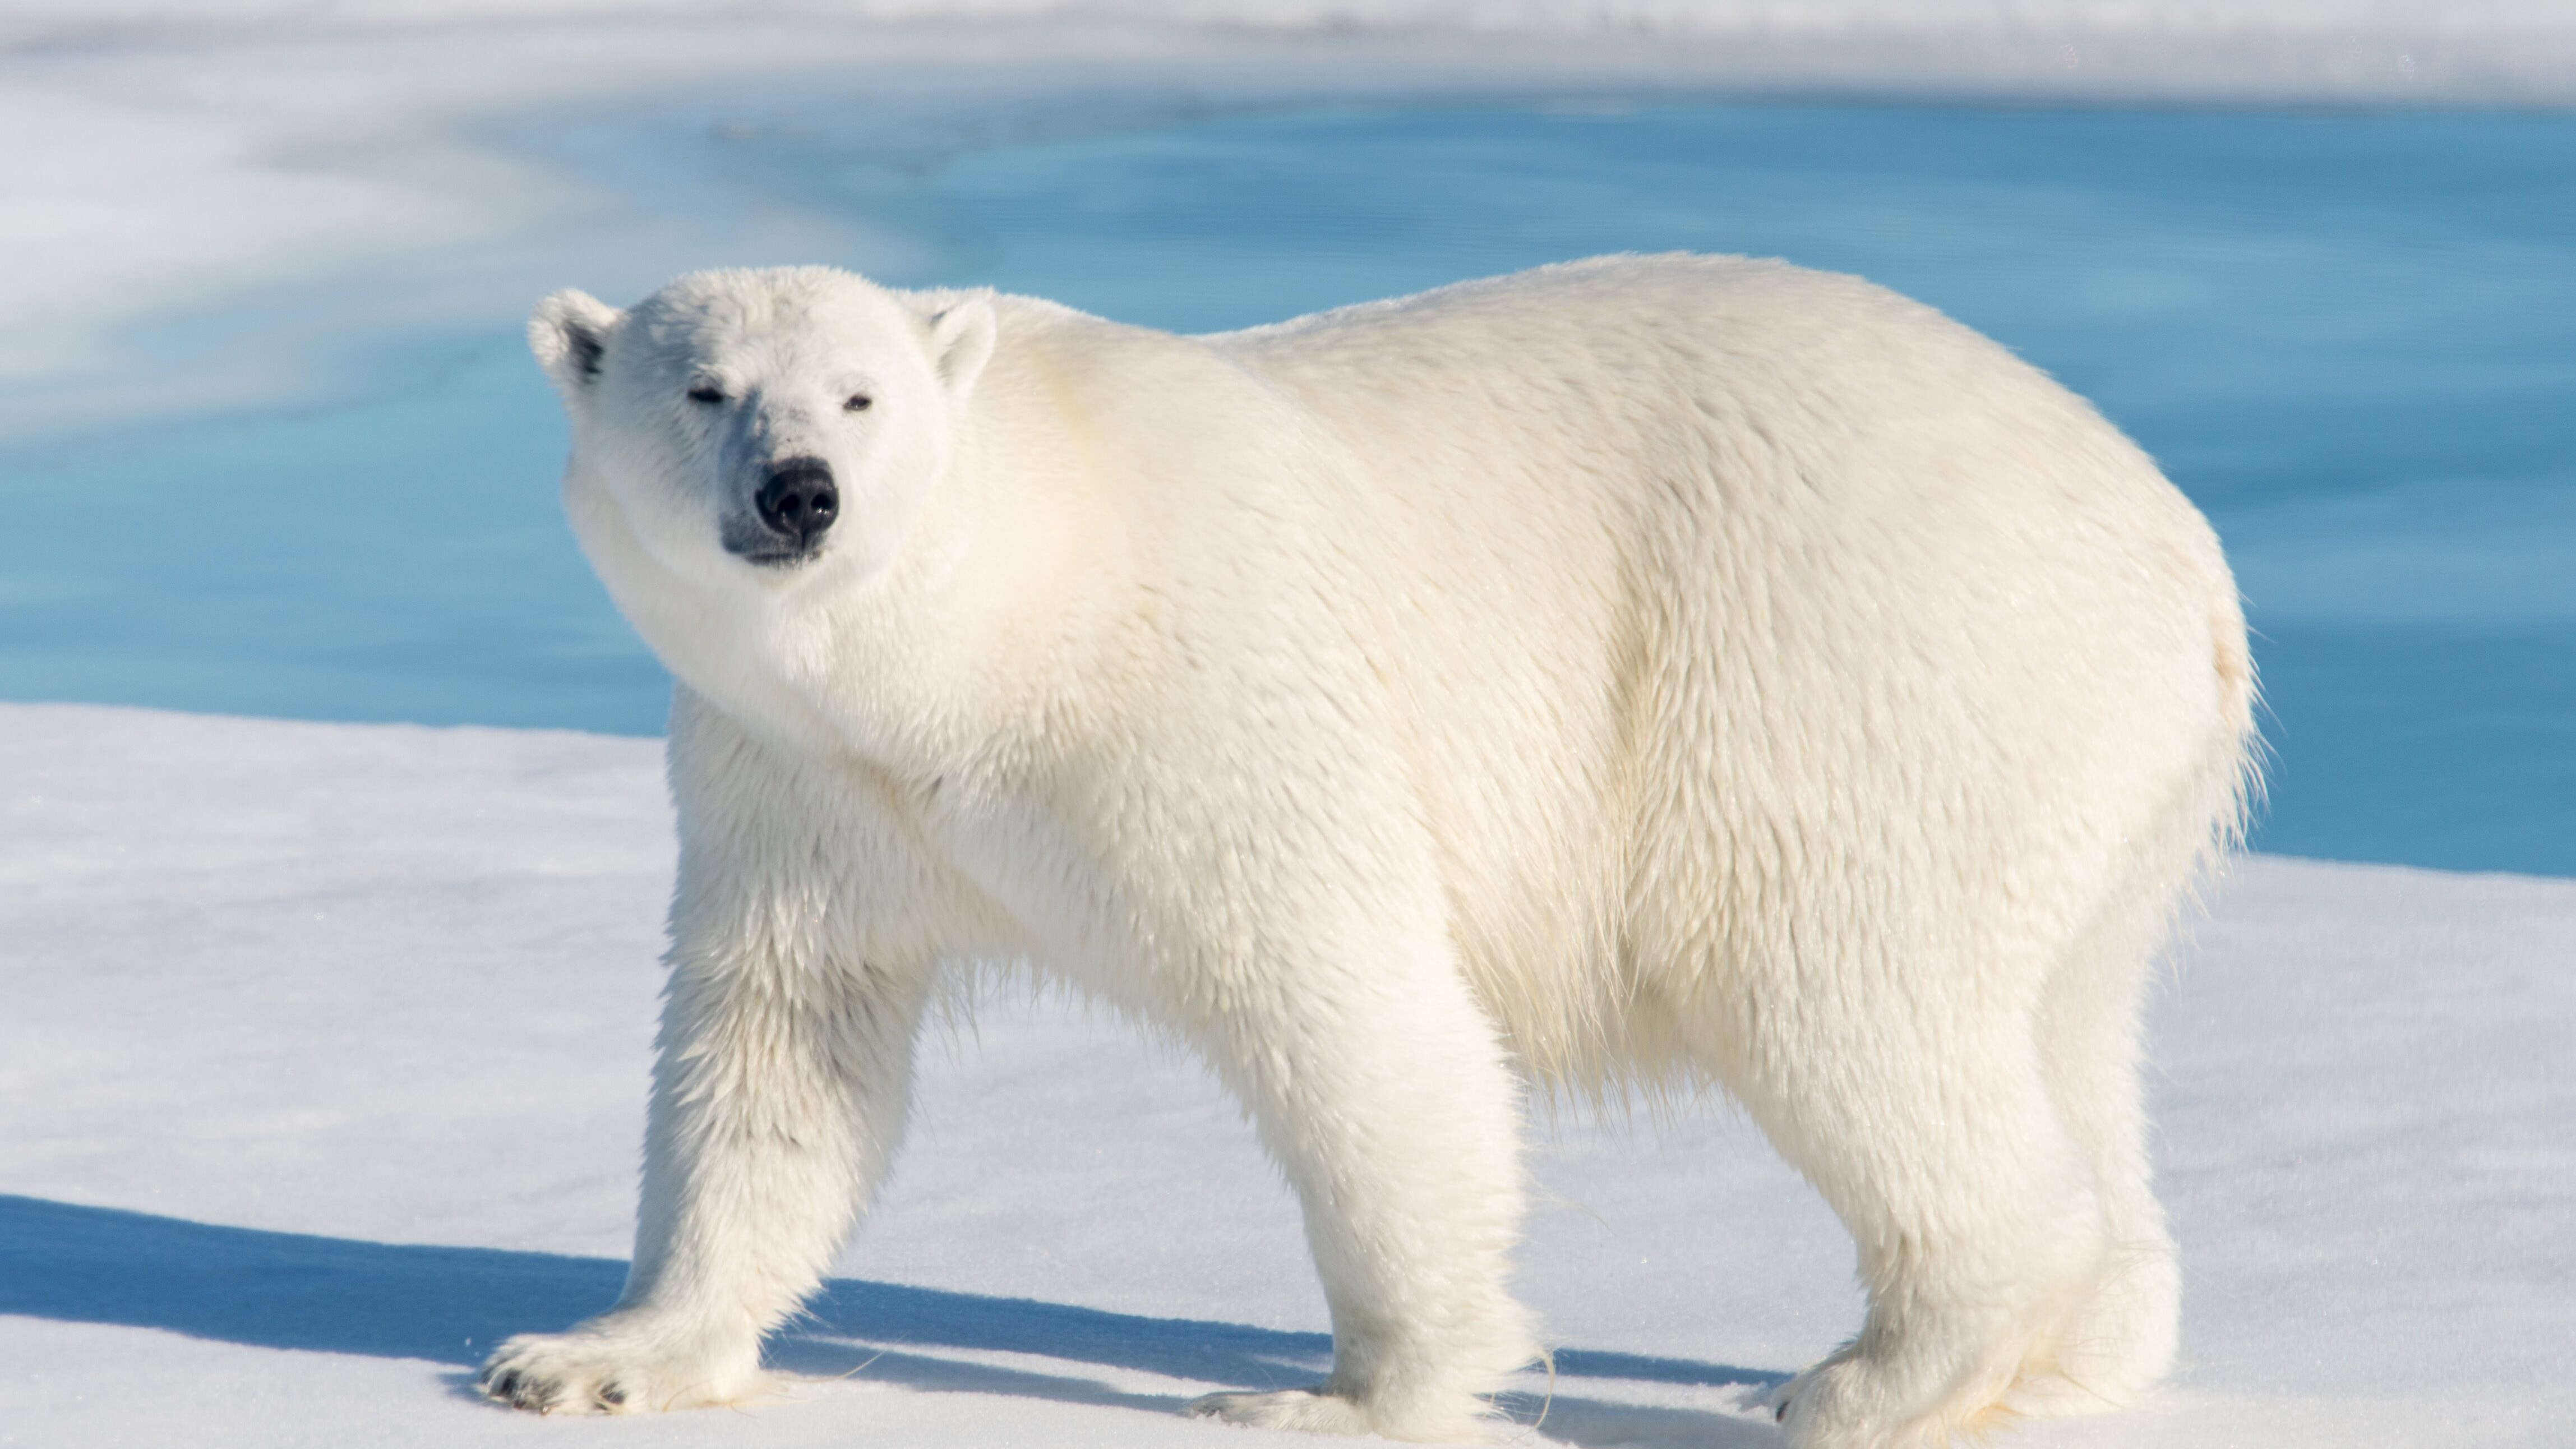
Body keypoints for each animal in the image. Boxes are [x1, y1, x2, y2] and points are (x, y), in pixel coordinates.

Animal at [481, 255, 2256, 1448]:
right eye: (703, 388)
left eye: (863, 396)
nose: (803, 493)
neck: (986, 635)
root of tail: (2185, 552)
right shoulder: (801, 781)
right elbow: (780, 1046)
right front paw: (592, 1355)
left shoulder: (1204, 696)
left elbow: (1349, 1008)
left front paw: (1344, 1399)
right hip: (2089, 780)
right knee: (2063, 1023)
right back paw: (2081, 1354)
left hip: (1858, 678)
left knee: (1840, 997)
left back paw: (1867, 1378)